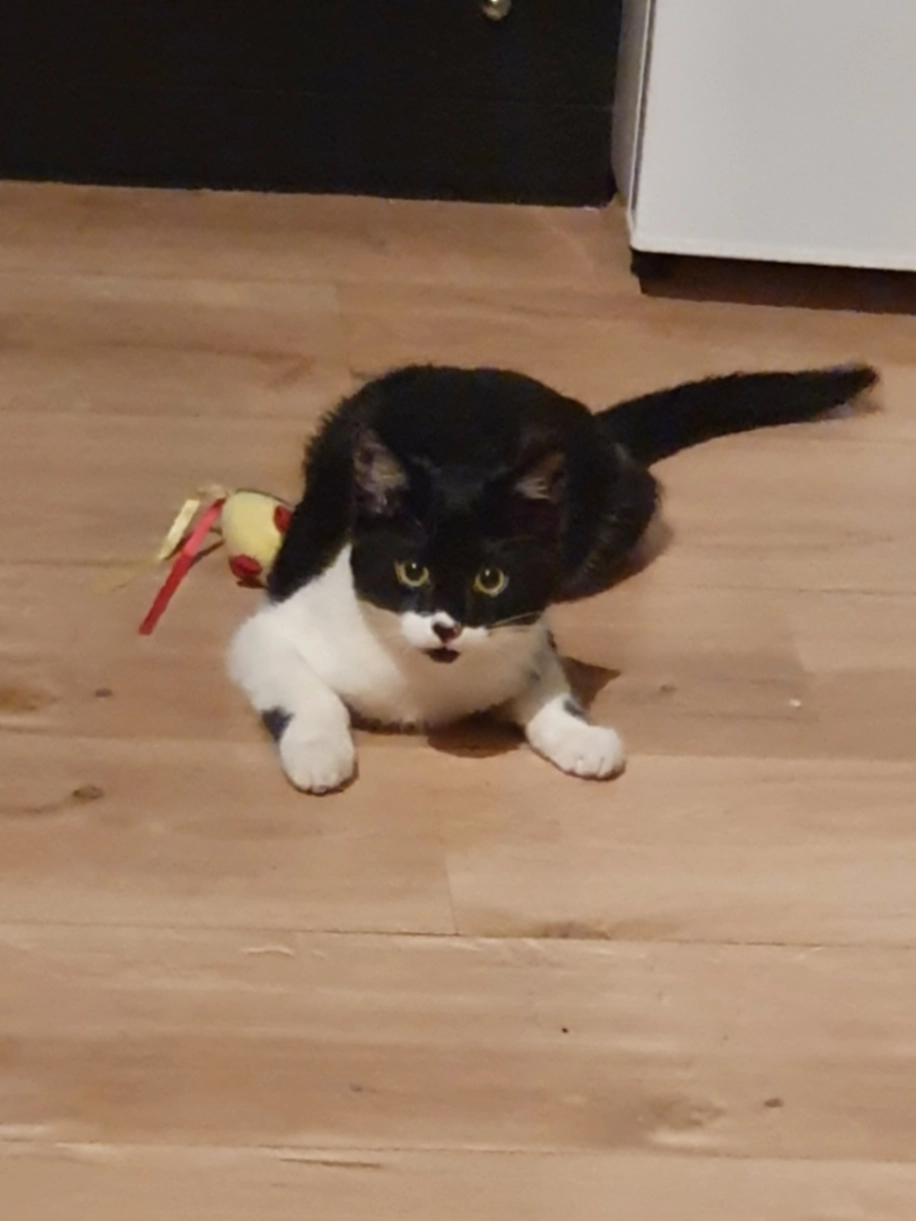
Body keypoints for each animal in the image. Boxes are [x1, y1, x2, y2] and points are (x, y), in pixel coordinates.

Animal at [228, 362, 877, 793]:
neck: (428, 685)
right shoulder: (271, 629)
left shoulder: (529, 628)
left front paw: (582, 739)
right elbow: (307, 690)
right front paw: (319, 752)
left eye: (491, 580)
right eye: (412, 569)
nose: (447, 627)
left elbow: (551, 687)